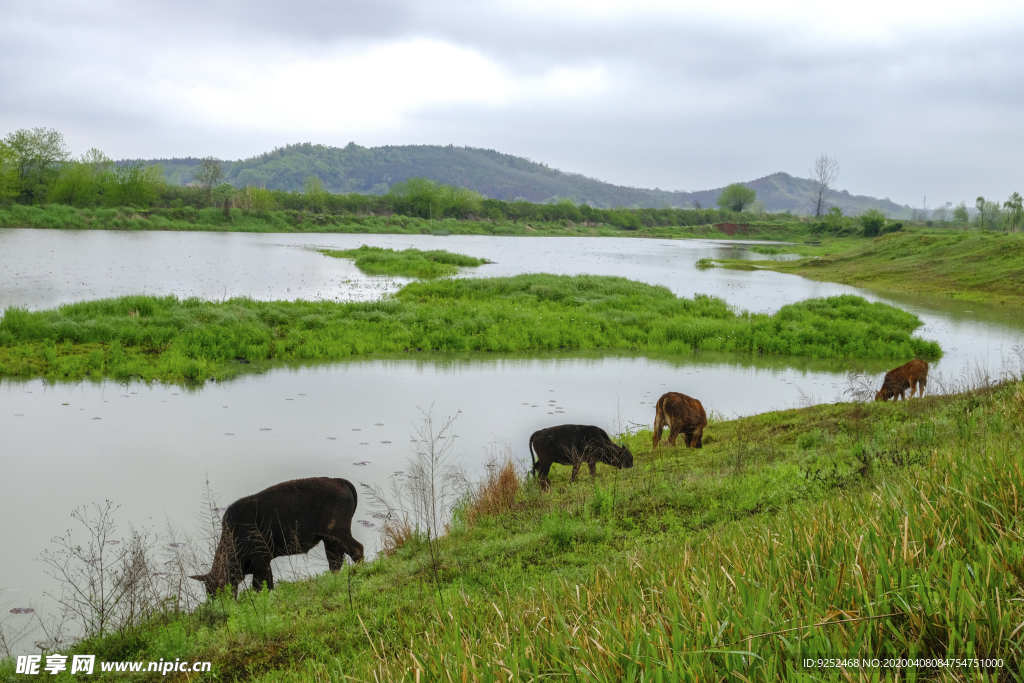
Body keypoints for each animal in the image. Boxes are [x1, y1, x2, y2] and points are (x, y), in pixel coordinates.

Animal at [191, 479, 364, 593]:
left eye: (216, 589)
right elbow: (269, 584)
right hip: (330, 540)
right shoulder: (265, 563)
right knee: (335, 561)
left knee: (356, 549)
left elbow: (258, 586)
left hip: (338, 533)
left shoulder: (260, 563)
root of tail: (339, 481)